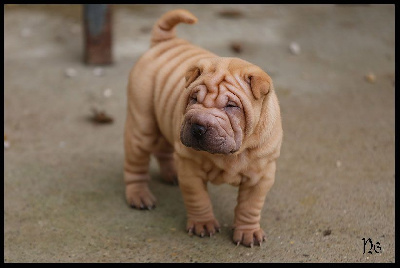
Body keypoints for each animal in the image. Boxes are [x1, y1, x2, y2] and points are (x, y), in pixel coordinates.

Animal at [123, 8, 282, 247]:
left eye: (231, 106)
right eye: (193, 99)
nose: (198, 126)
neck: (234, 153)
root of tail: (165, 42)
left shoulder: (261, 175)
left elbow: (250, 206)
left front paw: (248, 232)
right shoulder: (191, 169)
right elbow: (198, 198)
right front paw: (203, 225)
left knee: (164, 149)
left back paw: (171, 174)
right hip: (142, 124)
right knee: (137, 163)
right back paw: (139, 196)